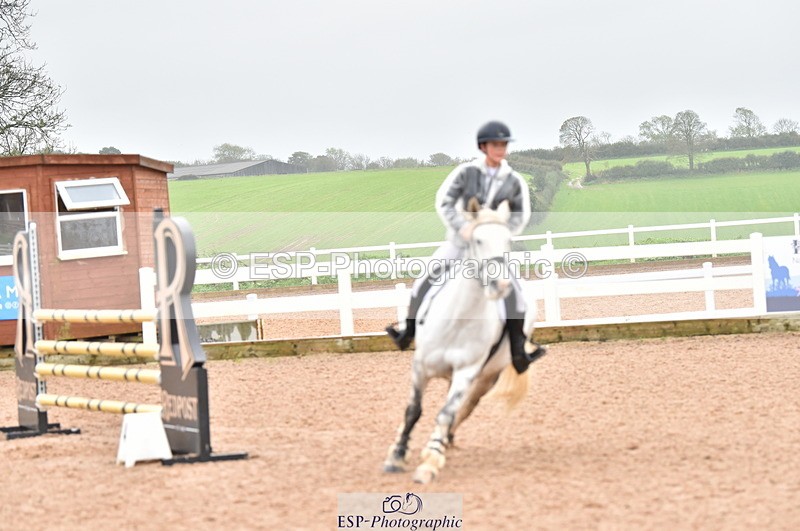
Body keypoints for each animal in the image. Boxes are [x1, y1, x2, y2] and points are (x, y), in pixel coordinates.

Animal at [383, 199, 540, 484]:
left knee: (462, 408)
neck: (458, 319)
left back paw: (443, 443)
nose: (501, 285)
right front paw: (397, 456)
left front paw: (430, 461)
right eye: (477, 239)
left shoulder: (467, 372)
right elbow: (413, 410)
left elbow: (446, 414)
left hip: (486, 377)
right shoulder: (420, 367)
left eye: (508, 240)